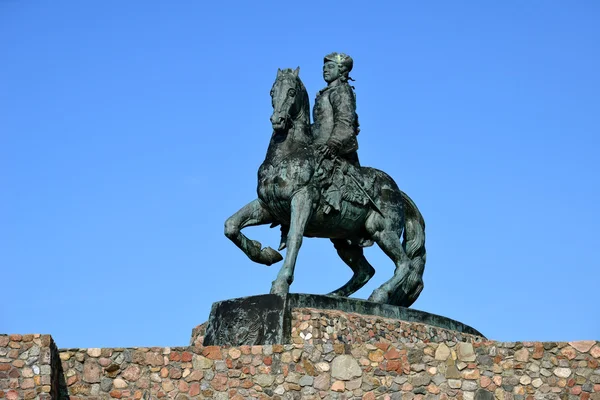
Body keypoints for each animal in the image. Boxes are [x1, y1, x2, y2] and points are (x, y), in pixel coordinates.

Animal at [225, 68, 426, 306]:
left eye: (291, 91)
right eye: (272, 91)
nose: (277, 120)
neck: (287, 155)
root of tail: (397, 191)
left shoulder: (302, 198)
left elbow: (294, 237)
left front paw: (281, 283)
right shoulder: (267, 206)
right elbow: (231, 226)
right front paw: (264, 254)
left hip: (381, 230)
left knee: (404, 264)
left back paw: (379, 295)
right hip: (343, 239)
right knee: (365, 271)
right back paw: (334, 296)